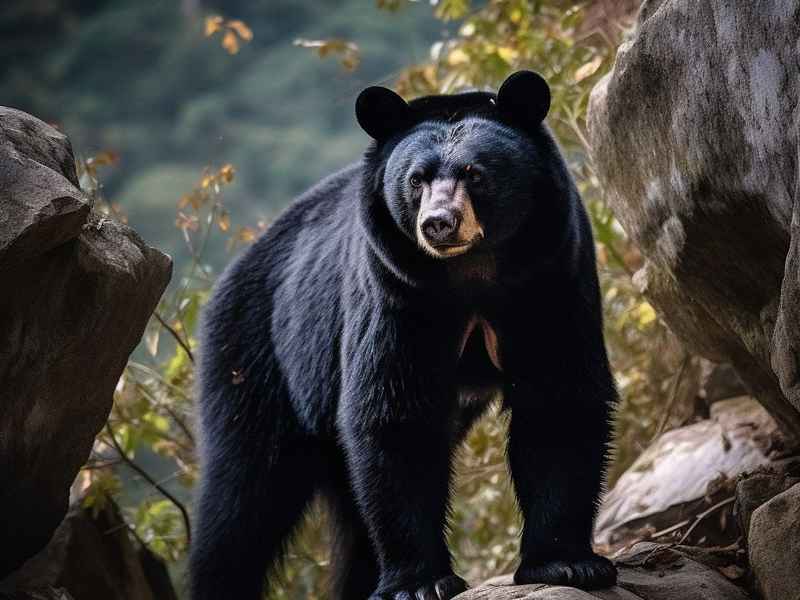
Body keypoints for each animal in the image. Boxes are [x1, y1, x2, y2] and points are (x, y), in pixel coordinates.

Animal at [189, 70, 617, 600]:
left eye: (475, 173)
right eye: (416, 179)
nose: (439, 224)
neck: (473, 273)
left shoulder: (550, 276)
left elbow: (559, 399)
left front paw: (567, 563)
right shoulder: (395, 293)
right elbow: (393, 412)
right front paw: (420, 583)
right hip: (257, 356)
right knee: (242, 495)